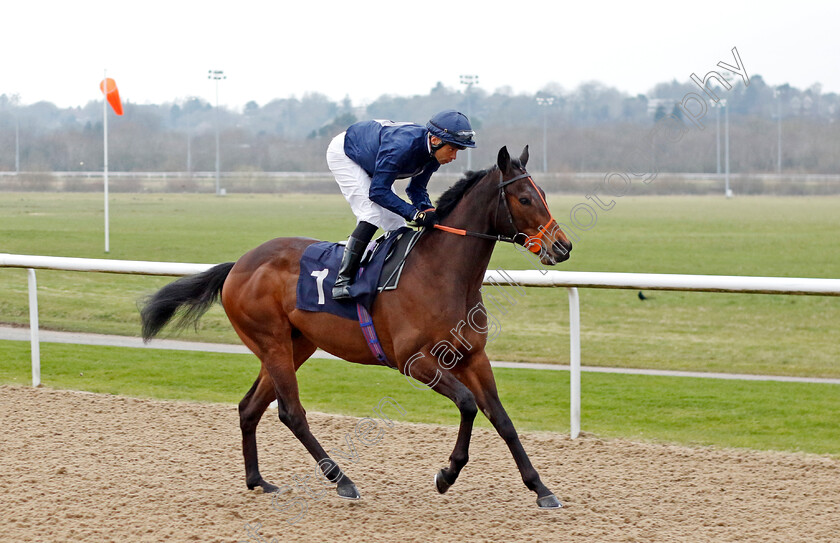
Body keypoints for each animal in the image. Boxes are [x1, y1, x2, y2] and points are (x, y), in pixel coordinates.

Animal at [141, 146, 576, 510]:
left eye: (542, 194)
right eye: (524, 198)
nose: (562, 246)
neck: (443, 274)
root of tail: (239, 265)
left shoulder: (473, 356)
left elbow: (501, 419)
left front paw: (541, 488)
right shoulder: (414, 361)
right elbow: (469, 404)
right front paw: (447, 474)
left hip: (294, 345)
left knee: (250, 407)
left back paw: (258, 480)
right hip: (273, 343)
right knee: (291, 412)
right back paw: (343, 480)